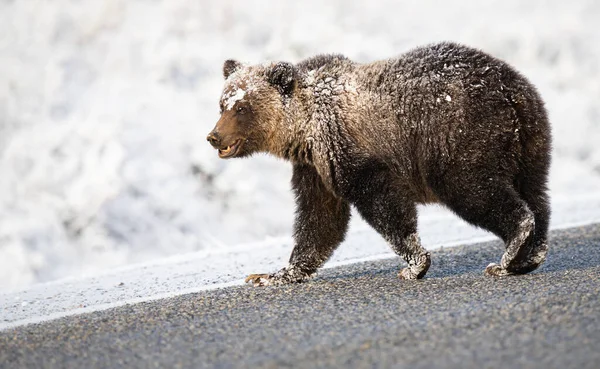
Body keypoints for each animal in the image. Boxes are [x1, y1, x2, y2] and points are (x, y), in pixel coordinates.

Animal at [209, 41, 552, 286]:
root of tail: (510, 90)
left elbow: (383, 204)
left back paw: (510, 252)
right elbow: (320, 220)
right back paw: (529, 256)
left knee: (473, 189)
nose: (213, 136)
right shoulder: (316, 168)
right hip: (531, 140)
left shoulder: (351, 150)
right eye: (222, 104)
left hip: (459, 136)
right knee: (536, 193)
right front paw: (273, 274)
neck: (304, 130)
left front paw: (414, 265)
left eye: (241, 107)